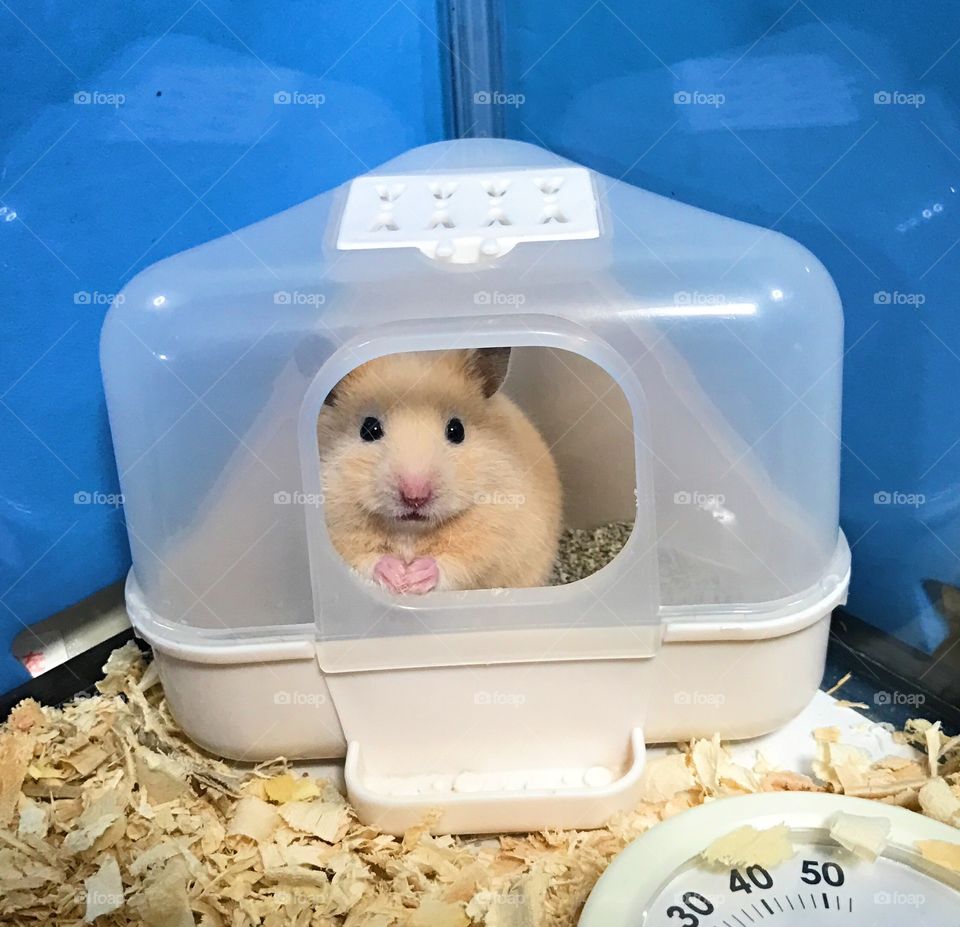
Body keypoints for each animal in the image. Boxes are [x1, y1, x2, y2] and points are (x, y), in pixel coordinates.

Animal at [316, 348, 562, 594]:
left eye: (457, 430)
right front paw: (397, 576)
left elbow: (462, 561)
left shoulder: (496, 528)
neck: (410, 530)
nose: (415, 497)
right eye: (369, 429)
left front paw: (415, 578)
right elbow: (360, 557)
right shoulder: (336, 527)